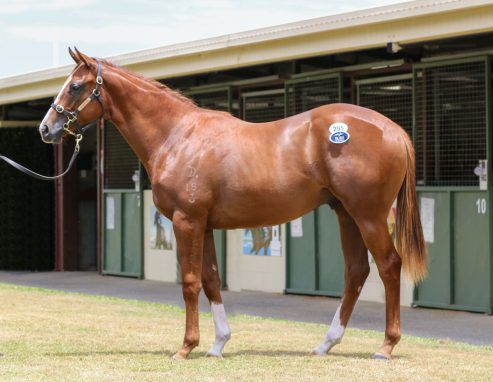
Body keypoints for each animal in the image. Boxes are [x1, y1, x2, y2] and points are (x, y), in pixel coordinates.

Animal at [38, 48, 424, 362]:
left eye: (75, 87)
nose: (46, 128)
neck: (177, 136)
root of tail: (393, 129)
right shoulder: (205, 225)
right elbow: (211, 279)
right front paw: (218, 343)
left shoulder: (187, 222)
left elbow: (190, 282)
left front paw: (186, 347)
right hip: (345, 214)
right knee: (356, 272)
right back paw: (326, 344)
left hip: (368, 216)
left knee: (389, 266)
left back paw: (386, 346)